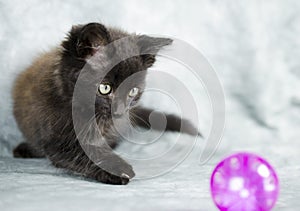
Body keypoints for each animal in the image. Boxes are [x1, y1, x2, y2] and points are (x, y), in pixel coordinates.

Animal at [12, 22, 199, 185]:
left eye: (132, 91)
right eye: (105, 88)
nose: (119, 111)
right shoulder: (56, 137)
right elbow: (80, 152)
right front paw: (117, 169)